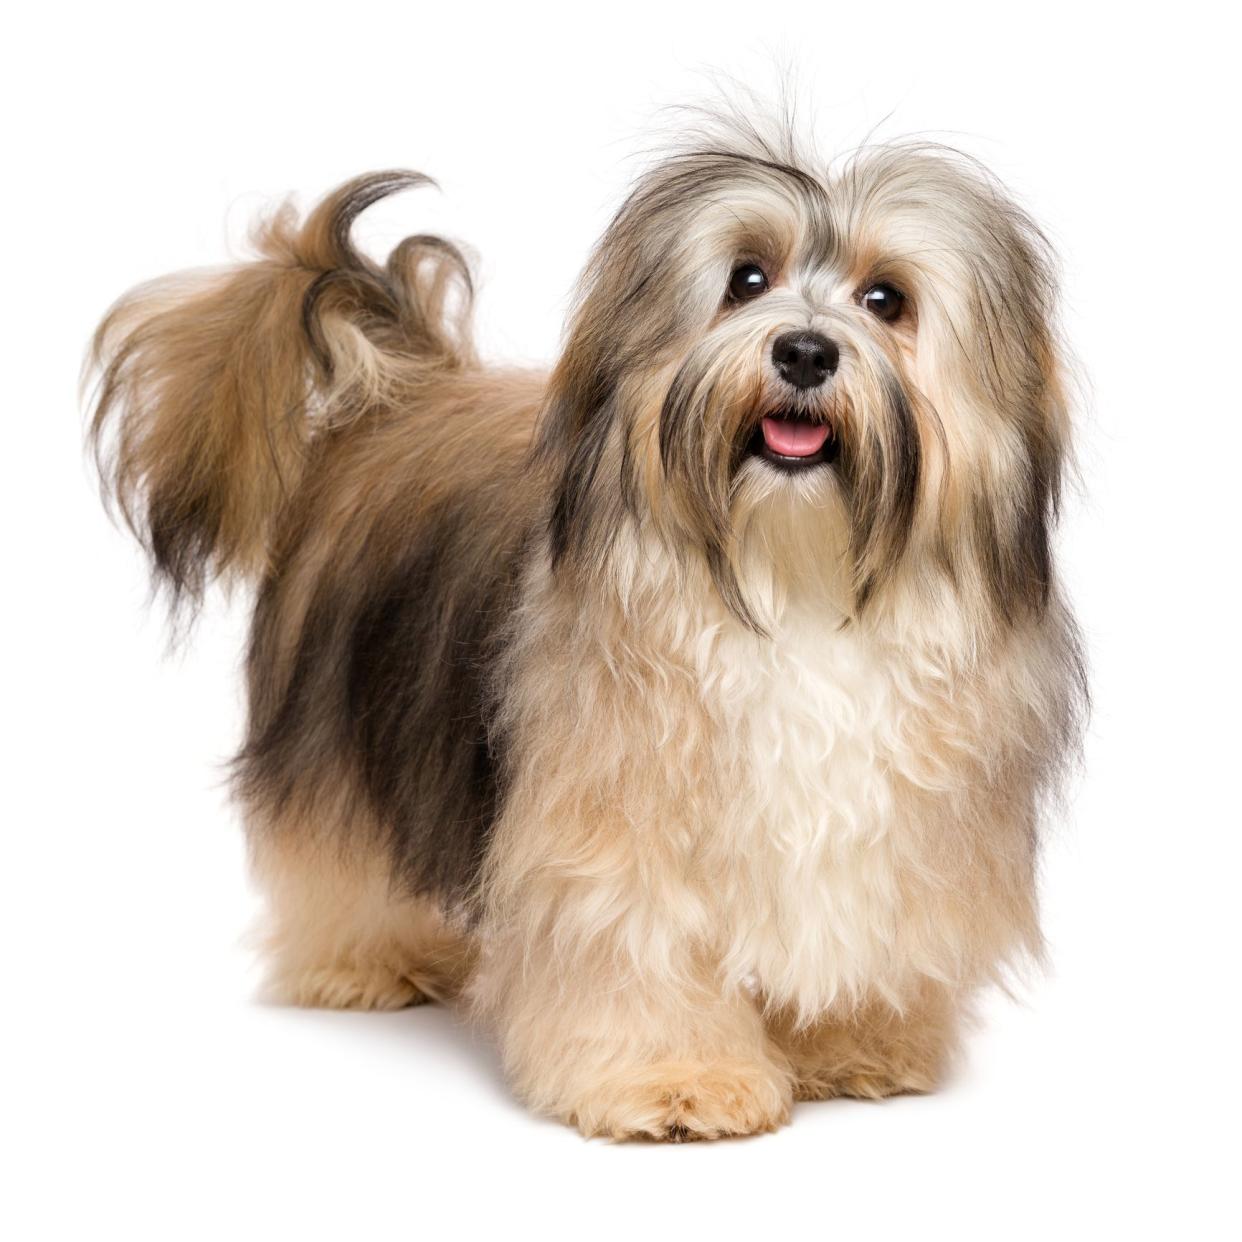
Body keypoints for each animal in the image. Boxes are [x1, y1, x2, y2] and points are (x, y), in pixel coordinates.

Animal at [87, 111, 1083, 1137]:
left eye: (887, 300)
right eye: (746, 279)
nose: (805, 352)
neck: (787, 582)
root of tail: (397, 394)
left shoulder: (903, 831)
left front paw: (850, 1044)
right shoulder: (613, 823)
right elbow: (636, 945)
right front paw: (676, 1076)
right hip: (335, 727)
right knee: (336, 850)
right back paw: (366, 961)